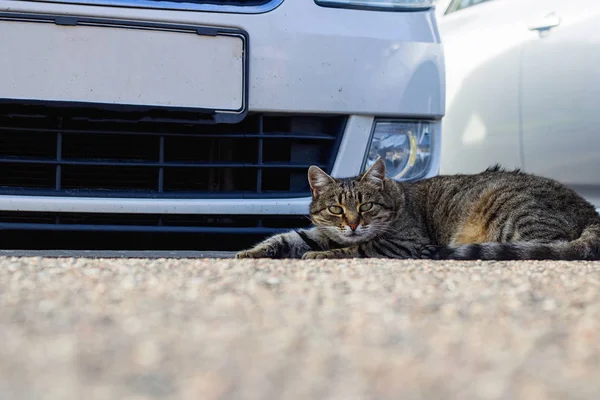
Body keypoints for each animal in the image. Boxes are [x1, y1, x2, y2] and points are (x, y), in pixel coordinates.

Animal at [233, 158, 600, 260]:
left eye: (366, 206)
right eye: (336, 210)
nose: (352, 224)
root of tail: (591, 210)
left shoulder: (404, 244)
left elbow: (359, 249)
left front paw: (322, 256)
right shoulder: (322, 233)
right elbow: (286, 238)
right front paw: (251, 252)